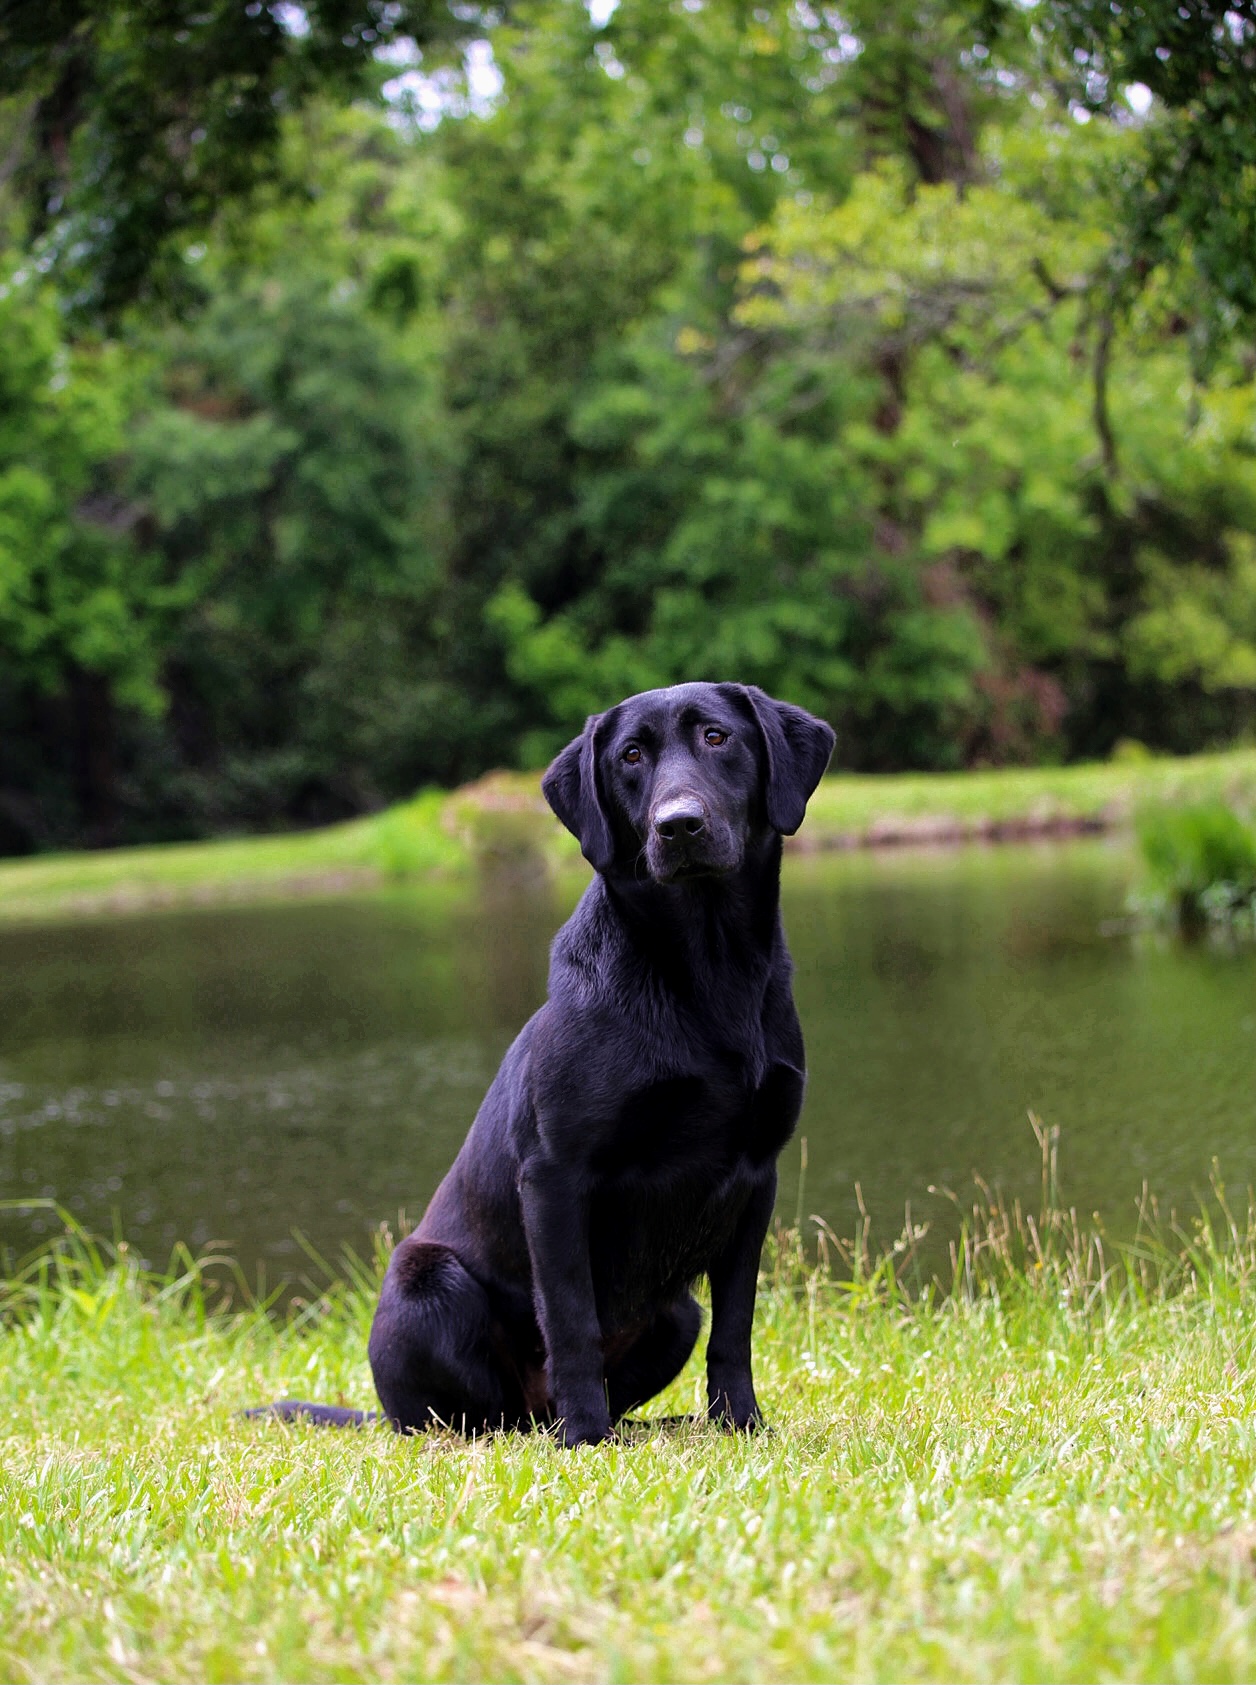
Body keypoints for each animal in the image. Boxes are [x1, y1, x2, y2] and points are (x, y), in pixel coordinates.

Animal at [256, 677, 832, 1442]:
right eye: (630, 756)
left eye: (717, 737)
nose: (677, 826)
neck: (708, 972)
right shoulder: (556, 1173)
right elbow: (571, 1317)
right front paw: (586, 1436)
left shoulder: (756, 1175)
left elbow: (735, 1327)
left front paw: (740, 1421)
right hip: (426, 1280)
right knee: (477, 1416)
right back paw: (559, 1428)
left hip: (676, 1312)